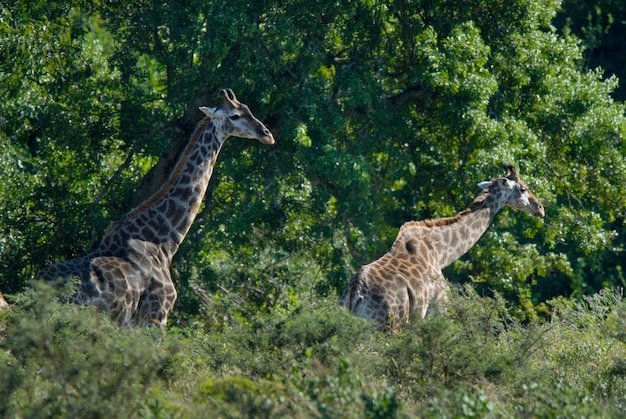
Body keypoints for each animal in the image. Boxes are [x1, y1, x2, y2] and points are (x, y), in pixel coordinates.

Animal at [35, 88, 274, 328]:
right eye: (234, 115)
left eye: (248, 109)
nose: (267, 134)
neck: (163, 241)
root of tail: (34, 287)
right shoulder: (156, 317)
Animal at [338, 164, 544, 332]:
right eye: (523, 188)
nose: (540, 208)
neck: (441, 253)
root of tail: (354, 294)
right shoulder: (439, 309)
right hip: (390, 326)